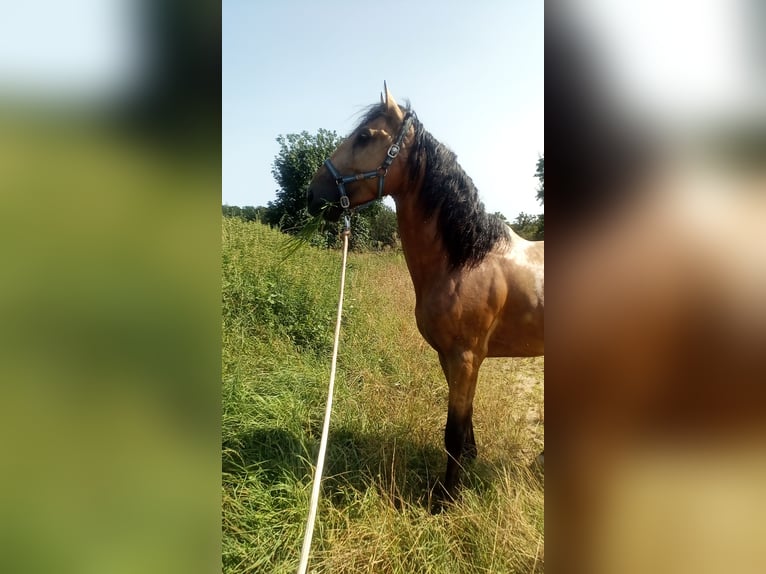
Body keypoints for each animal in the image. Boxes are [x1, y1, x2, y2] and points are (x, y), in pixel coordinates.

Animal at [306, 85, 544, 504]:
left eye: (364, 136)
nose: (311, 194)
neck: (466, 260)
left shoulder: (465, 357)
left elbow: (453, 431)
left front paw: (446, 499)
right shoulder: (449, 357)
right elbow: (465, 423)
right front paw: (467, 467)